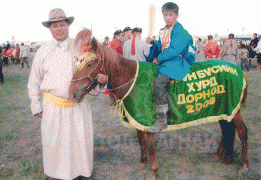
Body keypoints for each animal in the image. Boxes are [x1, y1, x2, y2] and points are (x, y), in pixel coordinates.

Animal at [68, 28, 248, 179]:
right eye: (76, 61)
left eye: (89, 63)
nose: (72, 93)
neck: (132, 79)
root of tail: (239, 71)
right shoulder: (138, 118)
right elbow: (141, 141)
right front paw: (142, 162)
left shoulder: (149, 121)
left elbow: (150, 146)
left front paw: (153, 171)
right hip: (224, 109)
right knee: (226, 129)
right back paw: (220, 155)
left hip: (234, 111)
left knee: (242, 132)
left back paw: (244, 165)